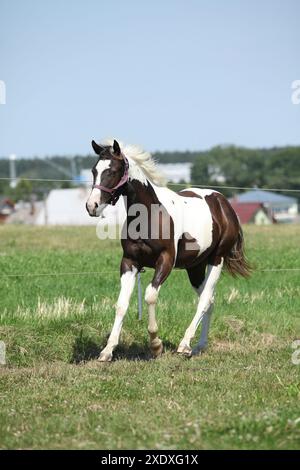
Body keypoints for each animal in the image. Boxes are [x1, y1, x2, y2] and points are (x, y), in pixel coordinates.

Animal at [85, 138, 250, 362]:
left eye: (113, 170)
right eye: (94, 170)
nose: (92, 206)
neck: (149, 214)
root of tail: (224, 204)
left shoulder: (165, 261)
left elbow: (150, 296)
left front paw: (156, 345)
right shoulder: (129, 262)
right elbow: (121, 304)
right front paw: (107, 350)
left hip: (217, 259)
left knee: (205, 300)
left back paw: (184, 344)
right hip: (195, 267)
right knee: (210, 300)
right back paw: (198, 346)